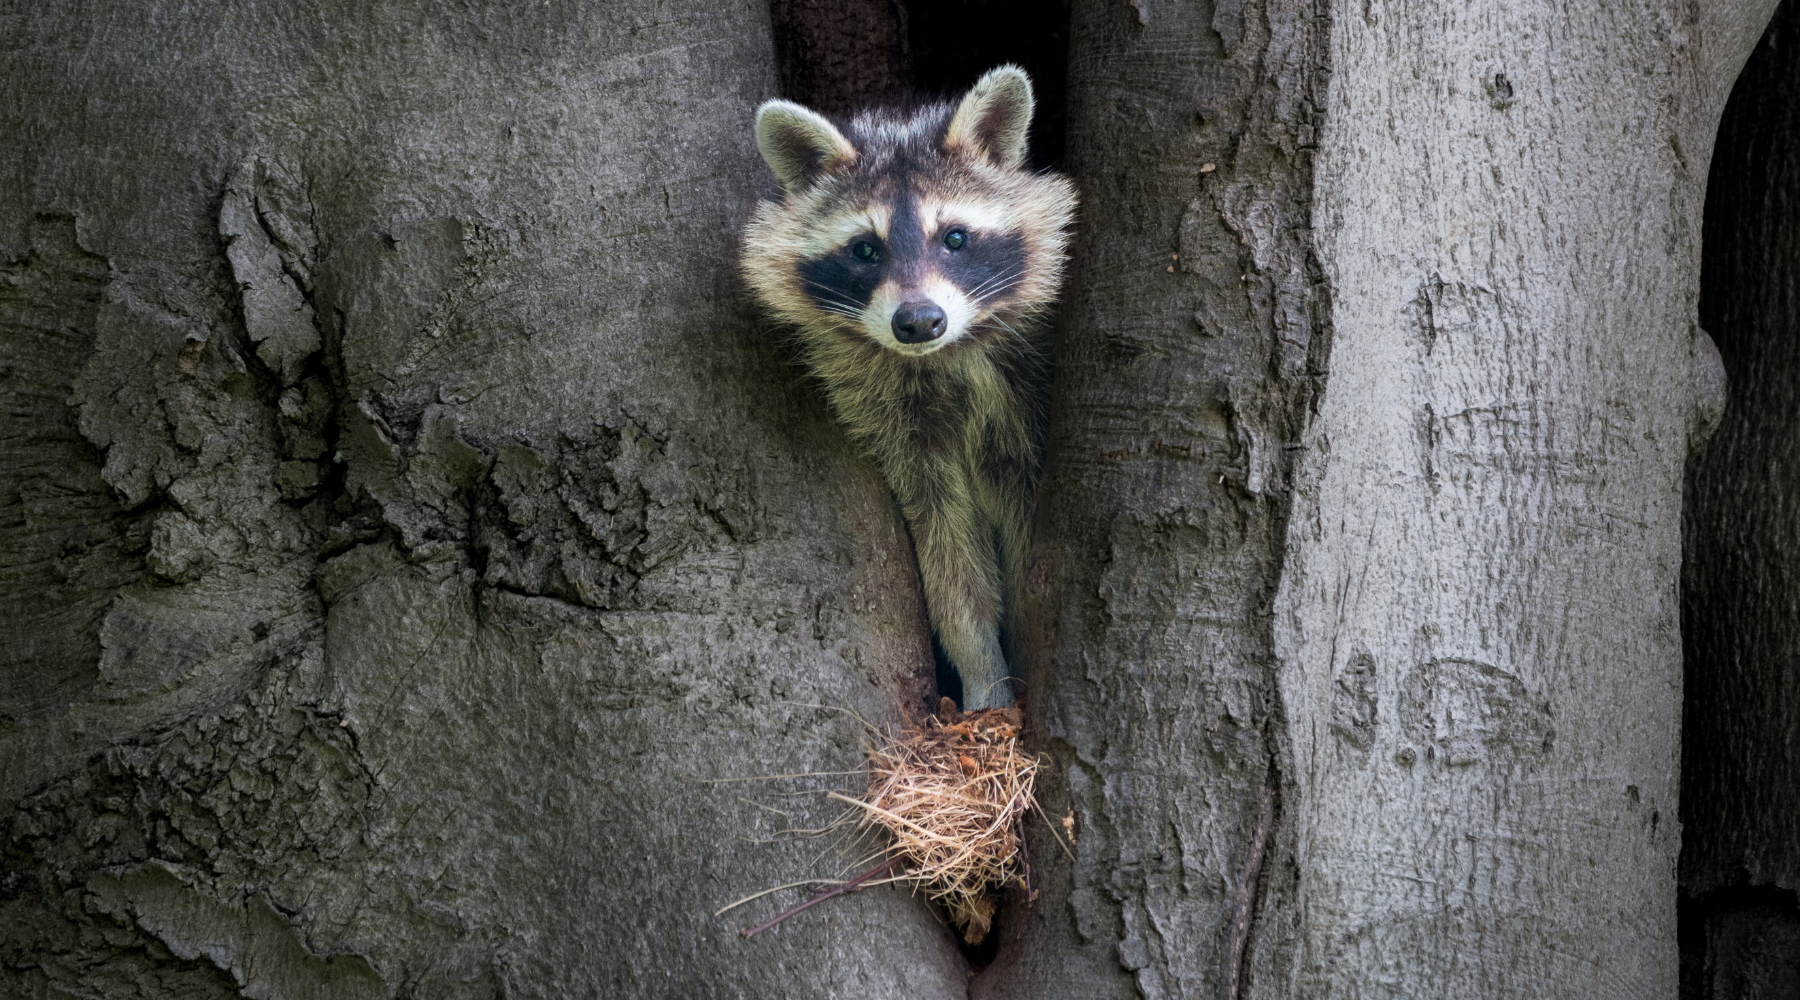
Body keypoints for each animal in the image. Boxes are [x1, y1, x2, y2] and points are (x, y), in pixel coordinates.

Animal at [738, 66, 1072, 708]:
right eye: (865, 249)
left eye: (956, 238)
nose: (918, 321)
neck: (943, 358)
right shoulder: (894, 423)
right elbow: (947, 553)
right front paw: (983, 671)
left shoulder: (1024, 398)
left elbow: (1026, 540)